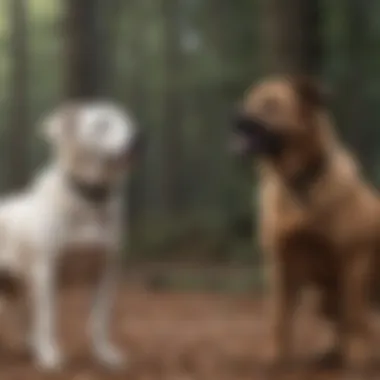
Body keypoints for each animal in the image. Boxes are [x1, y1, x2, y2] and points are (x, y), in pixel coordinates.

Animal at [0, 101, 140, 372]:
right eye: (102, 124)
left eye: (129, 122)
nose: (139, 139)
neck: (88, 198)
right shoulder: (46, 271)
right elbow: (49, 317)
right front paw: (49, 355)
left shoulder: (106, 270)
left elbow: (99, 319)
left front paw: (104, 355)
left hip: (15, 286)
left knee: (24, 317)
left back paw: (29, 344)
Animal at [230, 75, 380, 372]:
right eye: (249, 99)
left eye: (271, 105)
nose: (234, 117)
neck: (300, 180)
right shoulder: (281, 264)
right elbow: (278, 317)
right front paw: (275, 358)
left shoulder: (353, 261)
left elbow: (354, 314)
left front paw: (358, 359)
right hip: (323, 300)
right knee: (342, 327)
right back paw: (331, 355)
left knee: (360, 323)